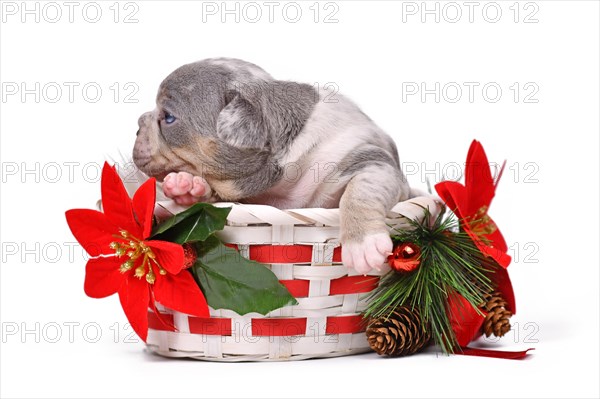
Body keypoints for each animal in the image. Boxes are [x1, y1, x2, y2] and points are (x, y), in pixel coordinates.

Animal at [133, 57, 410, 276]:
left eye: (168, 117)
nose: (137, 124)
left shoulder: (370, 158)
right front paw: (186, 186)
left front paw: (363, 245)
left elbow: (361, 190)